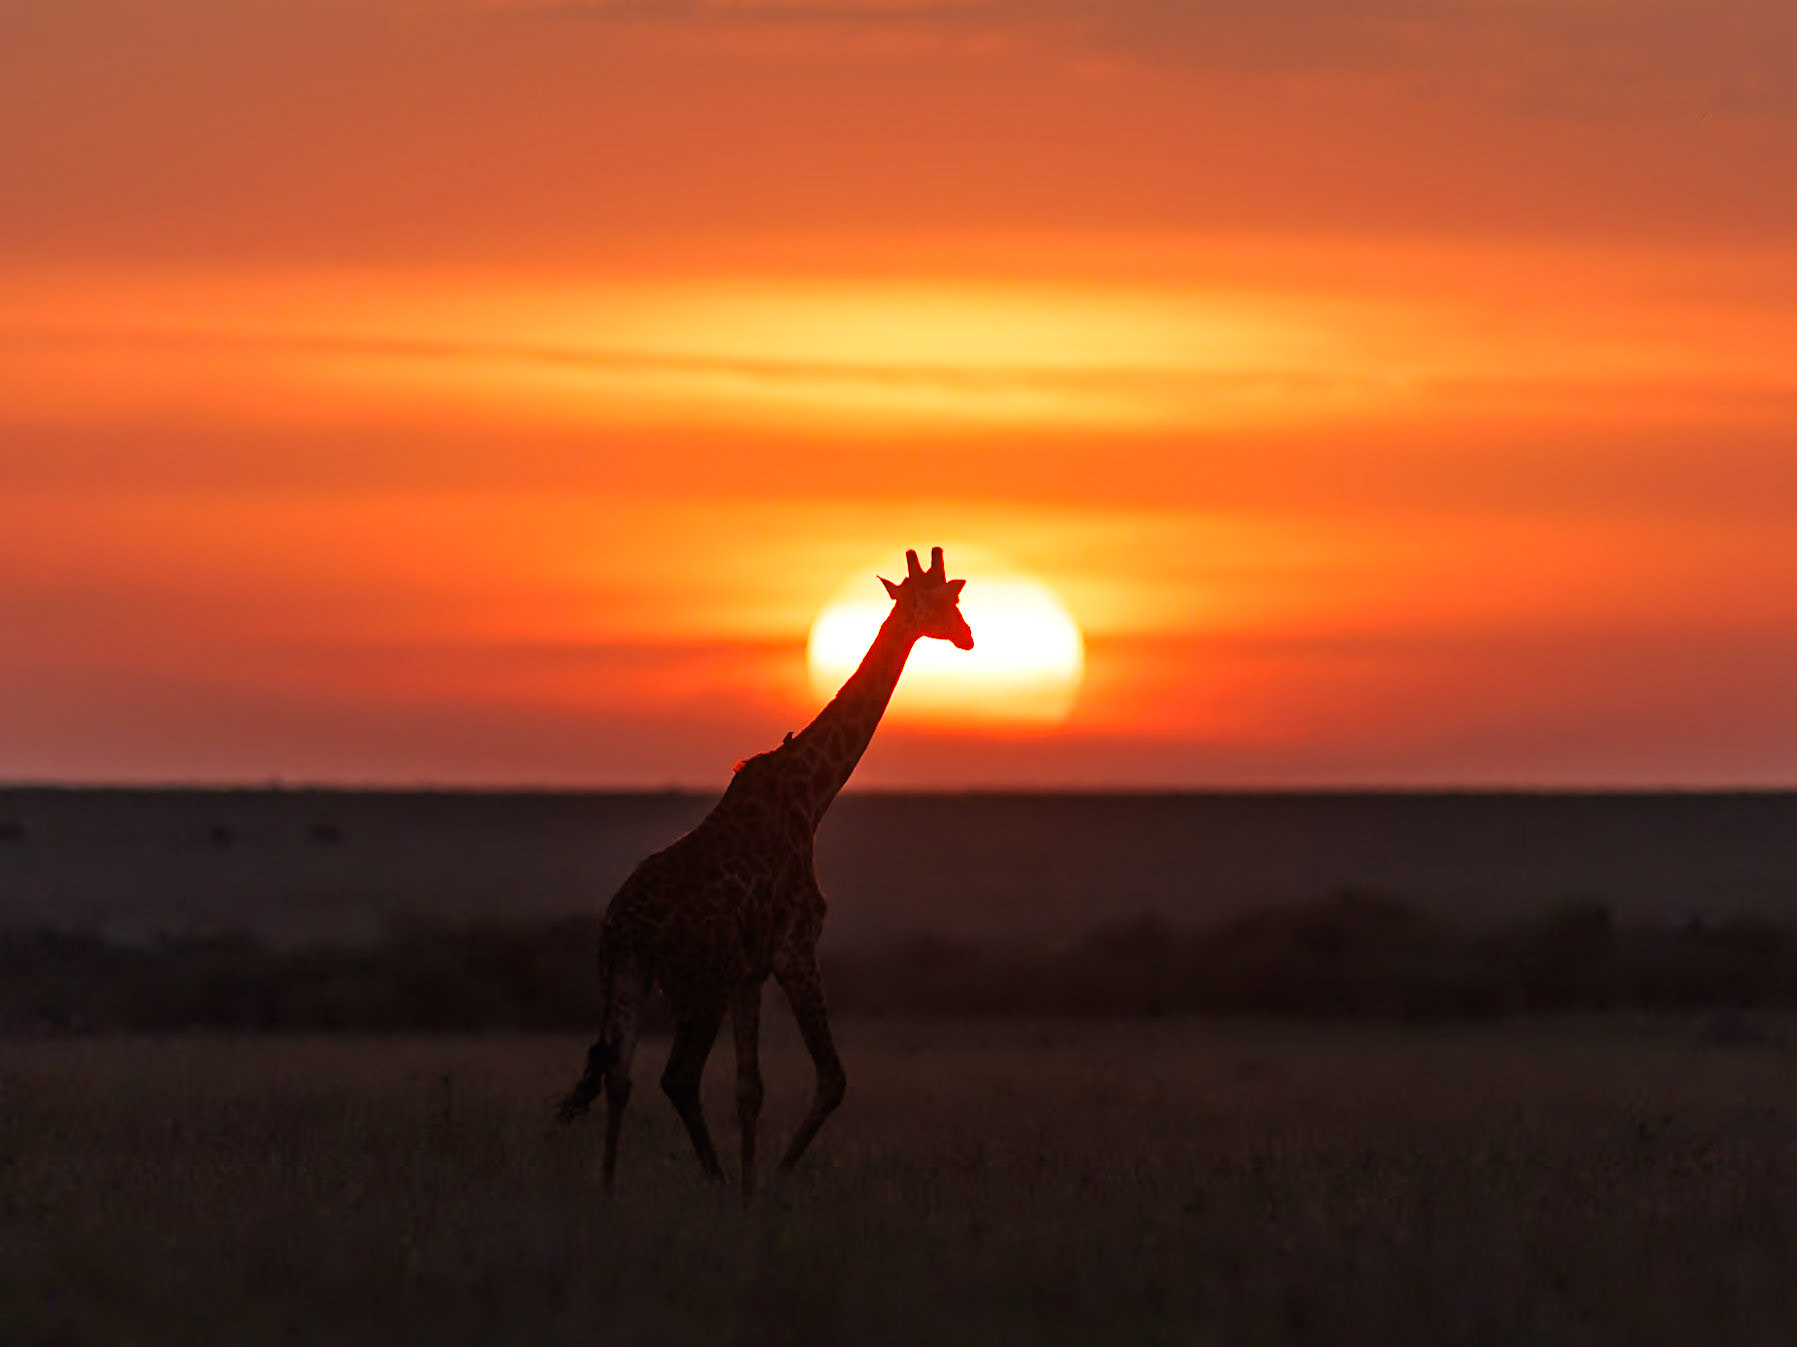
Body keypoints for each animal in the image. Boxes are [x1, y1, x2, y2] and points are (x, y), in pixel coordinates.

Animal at [555, 545, 973, 1199]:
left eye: (953, 597)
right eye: (935, 602)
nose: (967, 635)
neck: (813, 791)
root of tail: (621, 927)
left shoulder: (749, 973)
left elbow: (750, 1089)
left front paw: (753, 1187)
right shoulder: (794, 947)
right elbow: (832, 1079)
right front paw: (767, 1184)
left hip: (628, 976)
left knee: (618, 1074)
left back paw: (608, 1191)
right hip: (694, 982)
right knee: (676, 1077)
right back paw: (714, 1181)